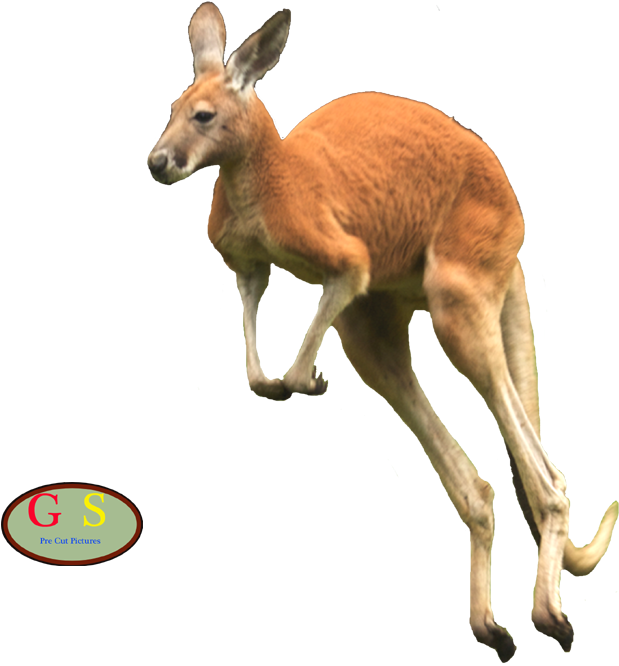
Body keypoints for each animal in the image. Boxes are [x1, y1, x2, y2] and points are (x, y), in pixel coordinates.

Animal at [147, 4, 618, 661]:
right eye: (170, 109)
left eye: (204, 116)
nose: (157, 163)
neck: (263, 174)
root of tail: (514, 237)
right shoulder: (246, 263)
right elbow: (251, 325)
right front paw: (275, 382)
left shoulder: (345, 253)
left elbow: (325, 301)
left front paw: (304, 381)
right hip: (382, 320)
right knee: (467, 474)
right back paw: (491, 628)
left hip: (458, 284)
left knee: (546, 476)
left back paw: (549, 615)